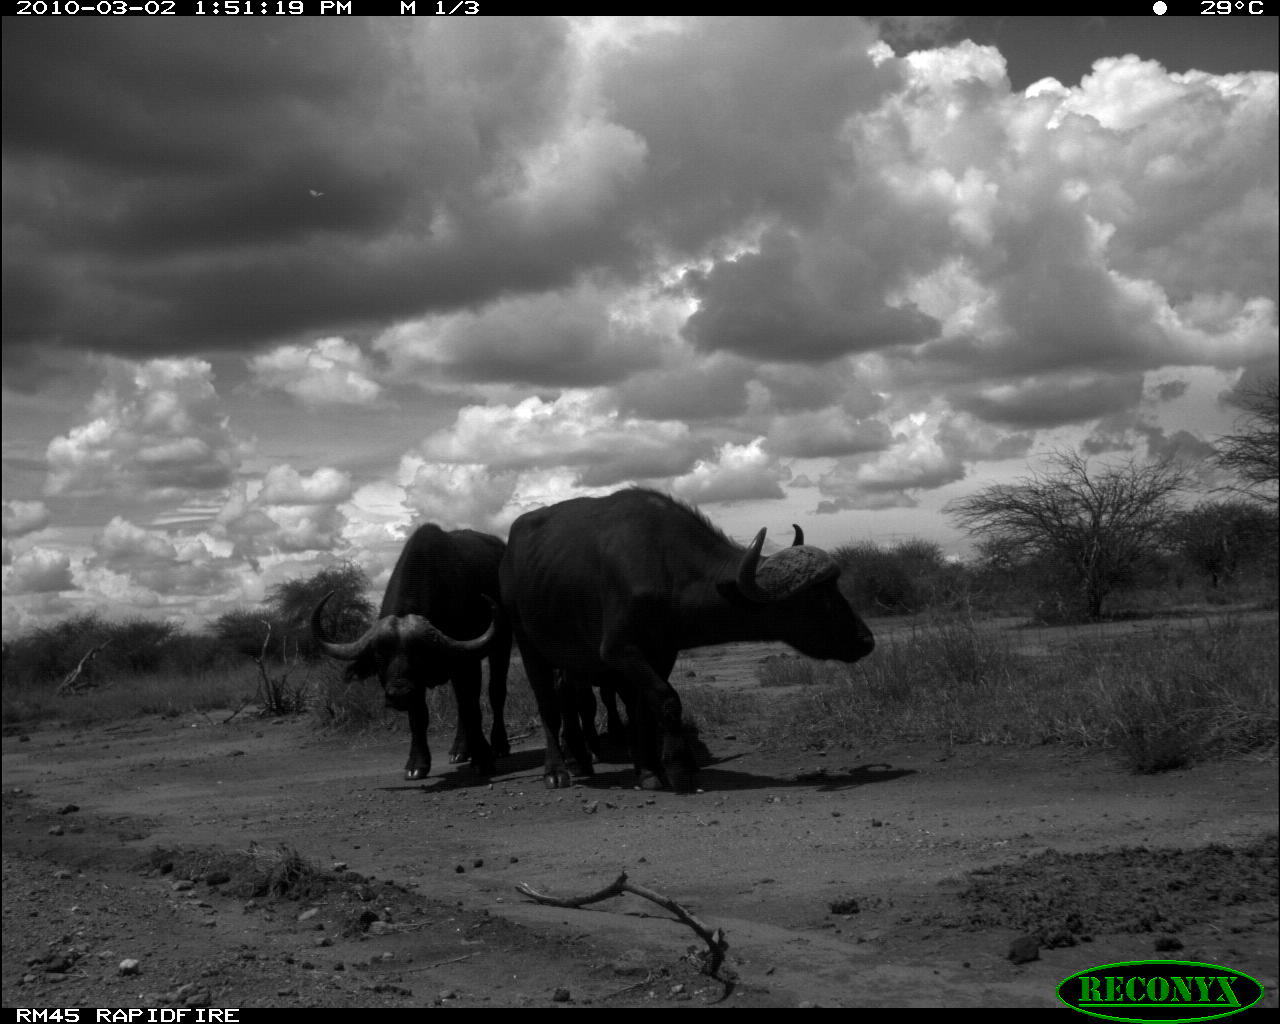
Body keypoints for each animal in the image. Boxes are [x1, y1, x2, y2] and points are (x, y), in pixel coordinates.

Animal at [309, 524, 509, 778]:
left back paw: (500, 746)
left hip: (501, 645)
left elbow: (471, 707)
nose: (399, 693)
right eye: (379, 655)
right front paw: (417, 764)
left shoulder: (464, 664)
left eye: (420, 653)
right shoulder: (422, 684)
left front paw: (483, 759)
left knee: (495, 693)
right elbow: (419, 717)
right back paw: (460, 750)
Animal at [494, 488, 875, 793]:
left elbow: (643, 708)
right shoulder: (620, 650)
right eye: (818, 599)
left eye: (835, 588)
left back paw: (581, 760)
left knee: (570, 697)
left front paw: (648, 769)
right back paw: (557, 770)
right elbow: (667, 700)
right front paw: (679, 770)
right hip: (528, 643)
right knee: (548, 704)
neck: (666, 566)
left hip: (570, 654)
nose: (866, 640)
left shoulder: (661, 652)